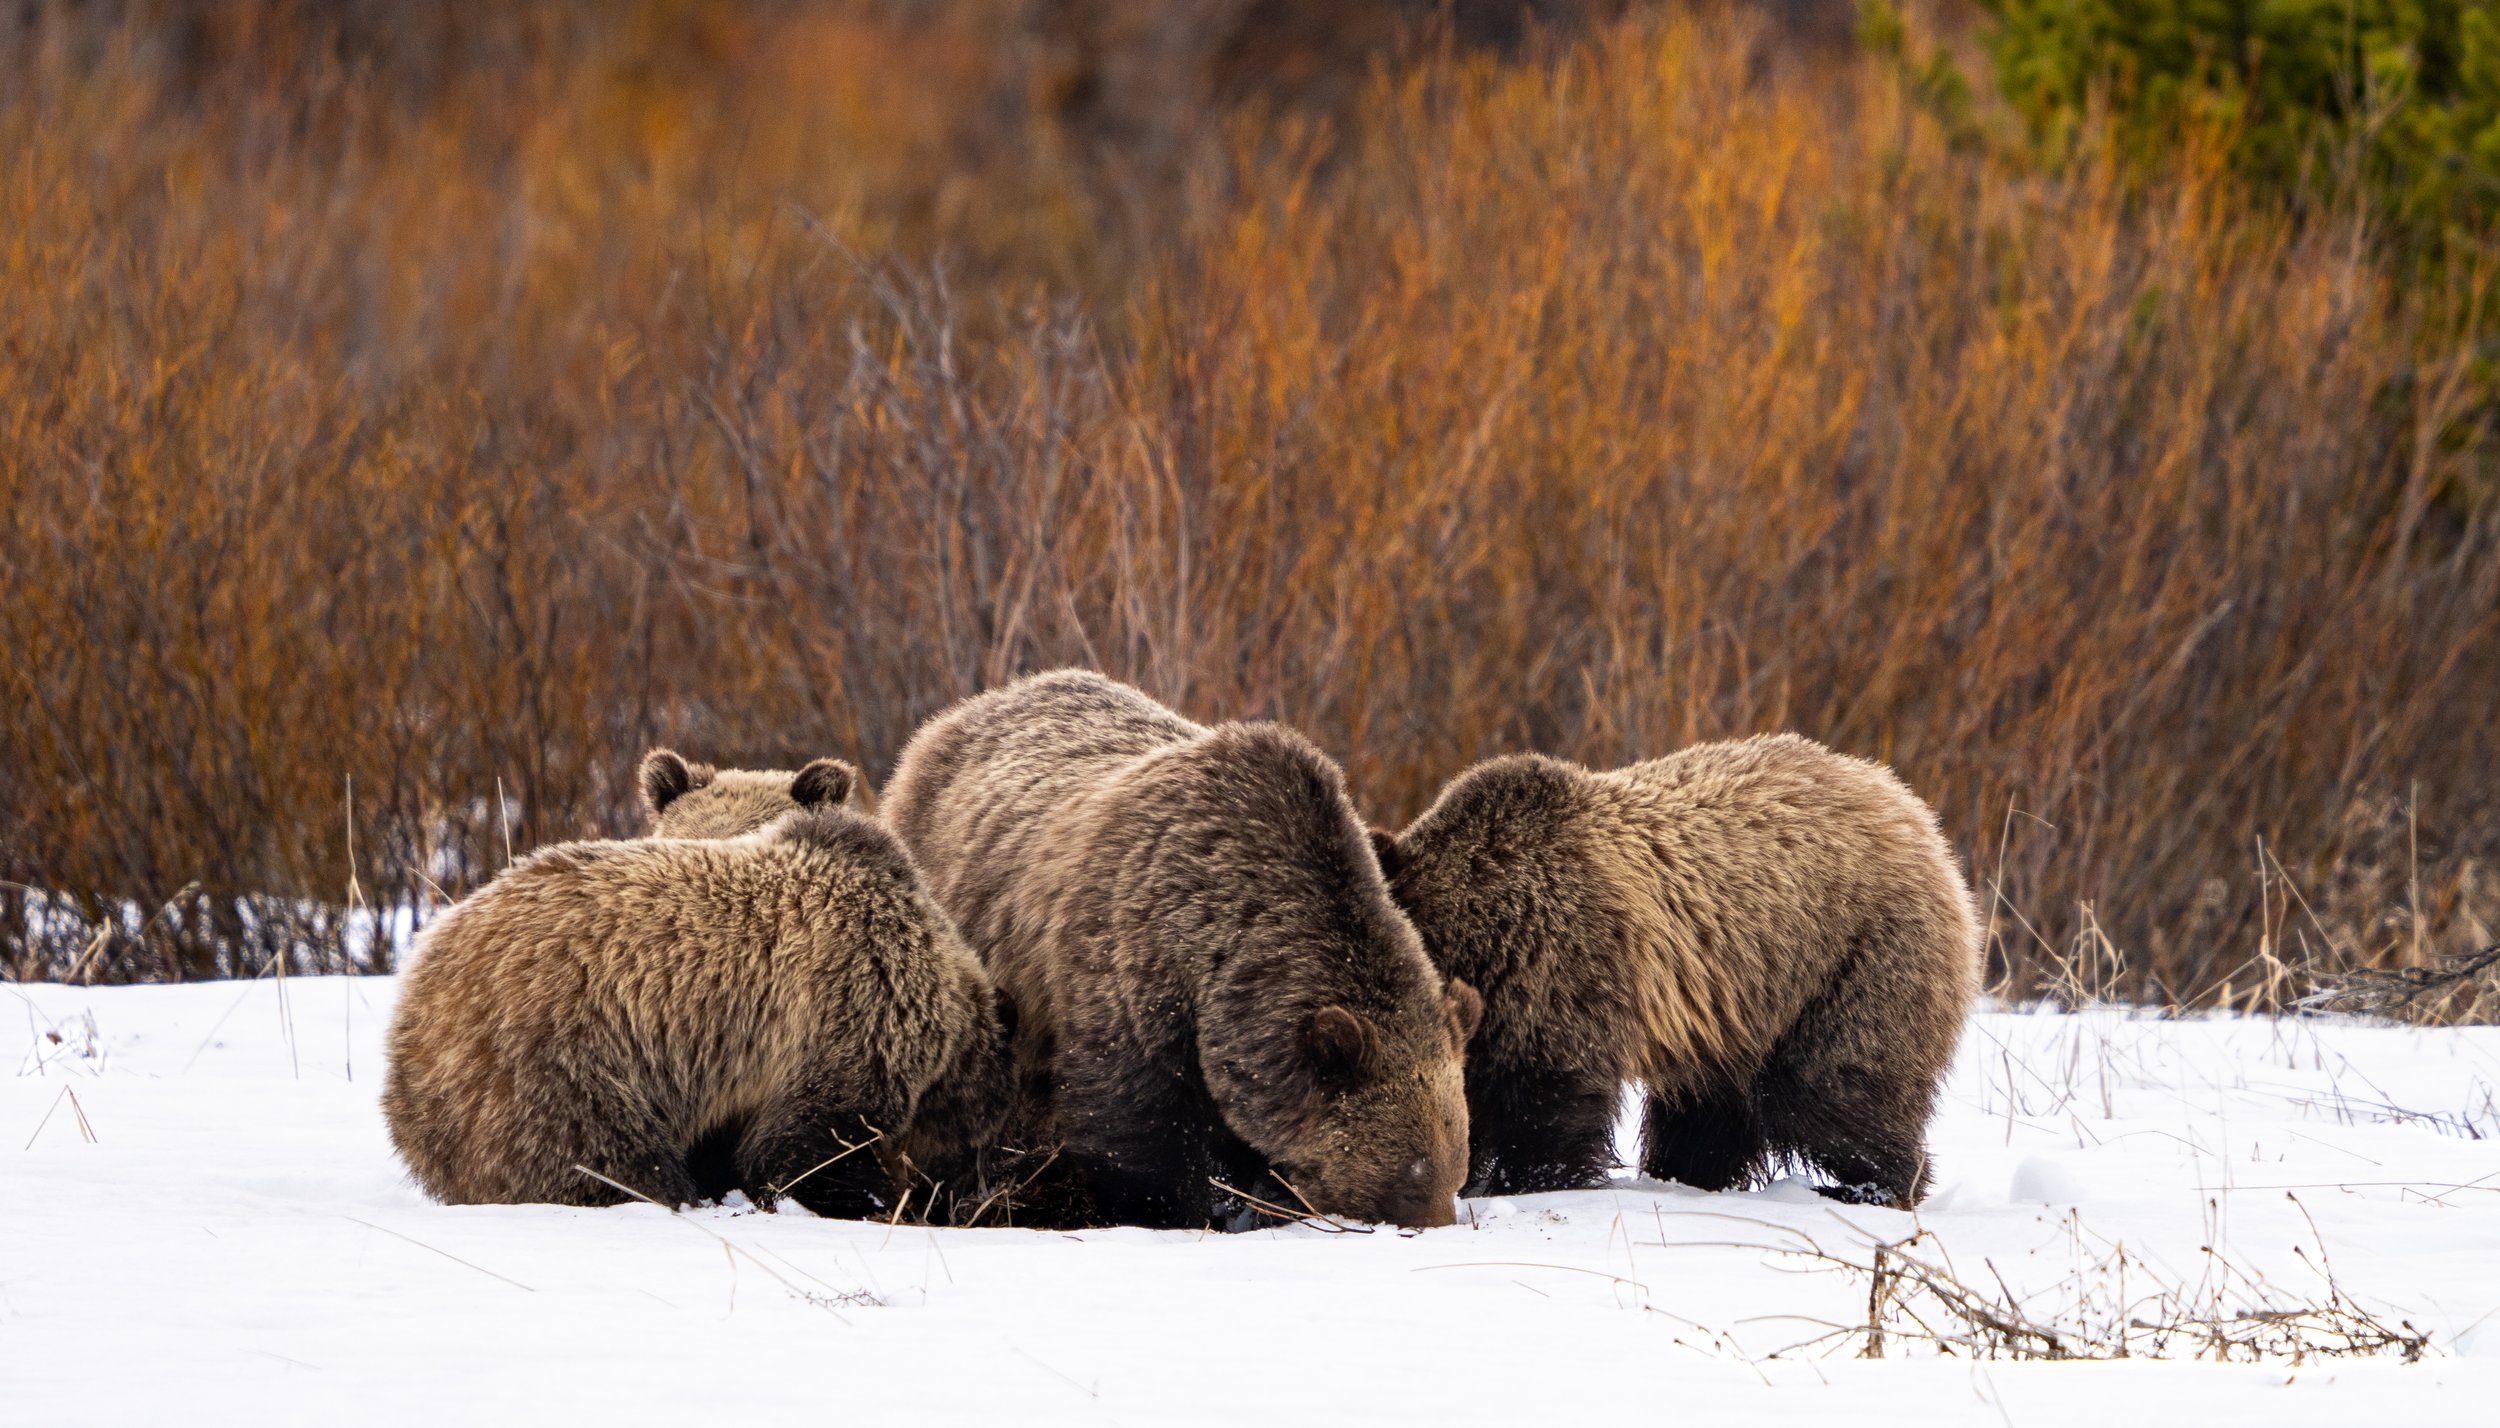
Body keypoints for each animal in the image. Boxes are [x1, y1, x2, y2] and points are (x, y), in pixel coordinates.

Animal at [381, 752, 1014, 1218]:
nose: (970, 1190)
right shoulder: (847, 1012)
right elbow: (806, 1145)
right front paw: (867, 1196)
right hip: (553, 1068)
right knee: (606, 1160)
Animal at [880, 670, 1482, 1230]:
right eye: (1410, 1178)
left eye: (1457, 1170)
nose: (1441, 1222)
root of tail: (960, 713)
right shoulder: (1134, 973)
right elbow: (1134, 1131)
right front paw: (1174, 1210)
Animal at [1373, 734, 1980, 1208]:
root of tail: (1910, 809)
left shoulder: (1557, 967)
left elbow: (1548, 1103)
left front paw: (1529, 1184)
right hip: (1741, 1009)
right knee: (1709, 1112)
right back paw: (1688, 1177)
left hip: (1850, 957)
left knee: (1830, 1088)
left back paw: (1875, 1186)